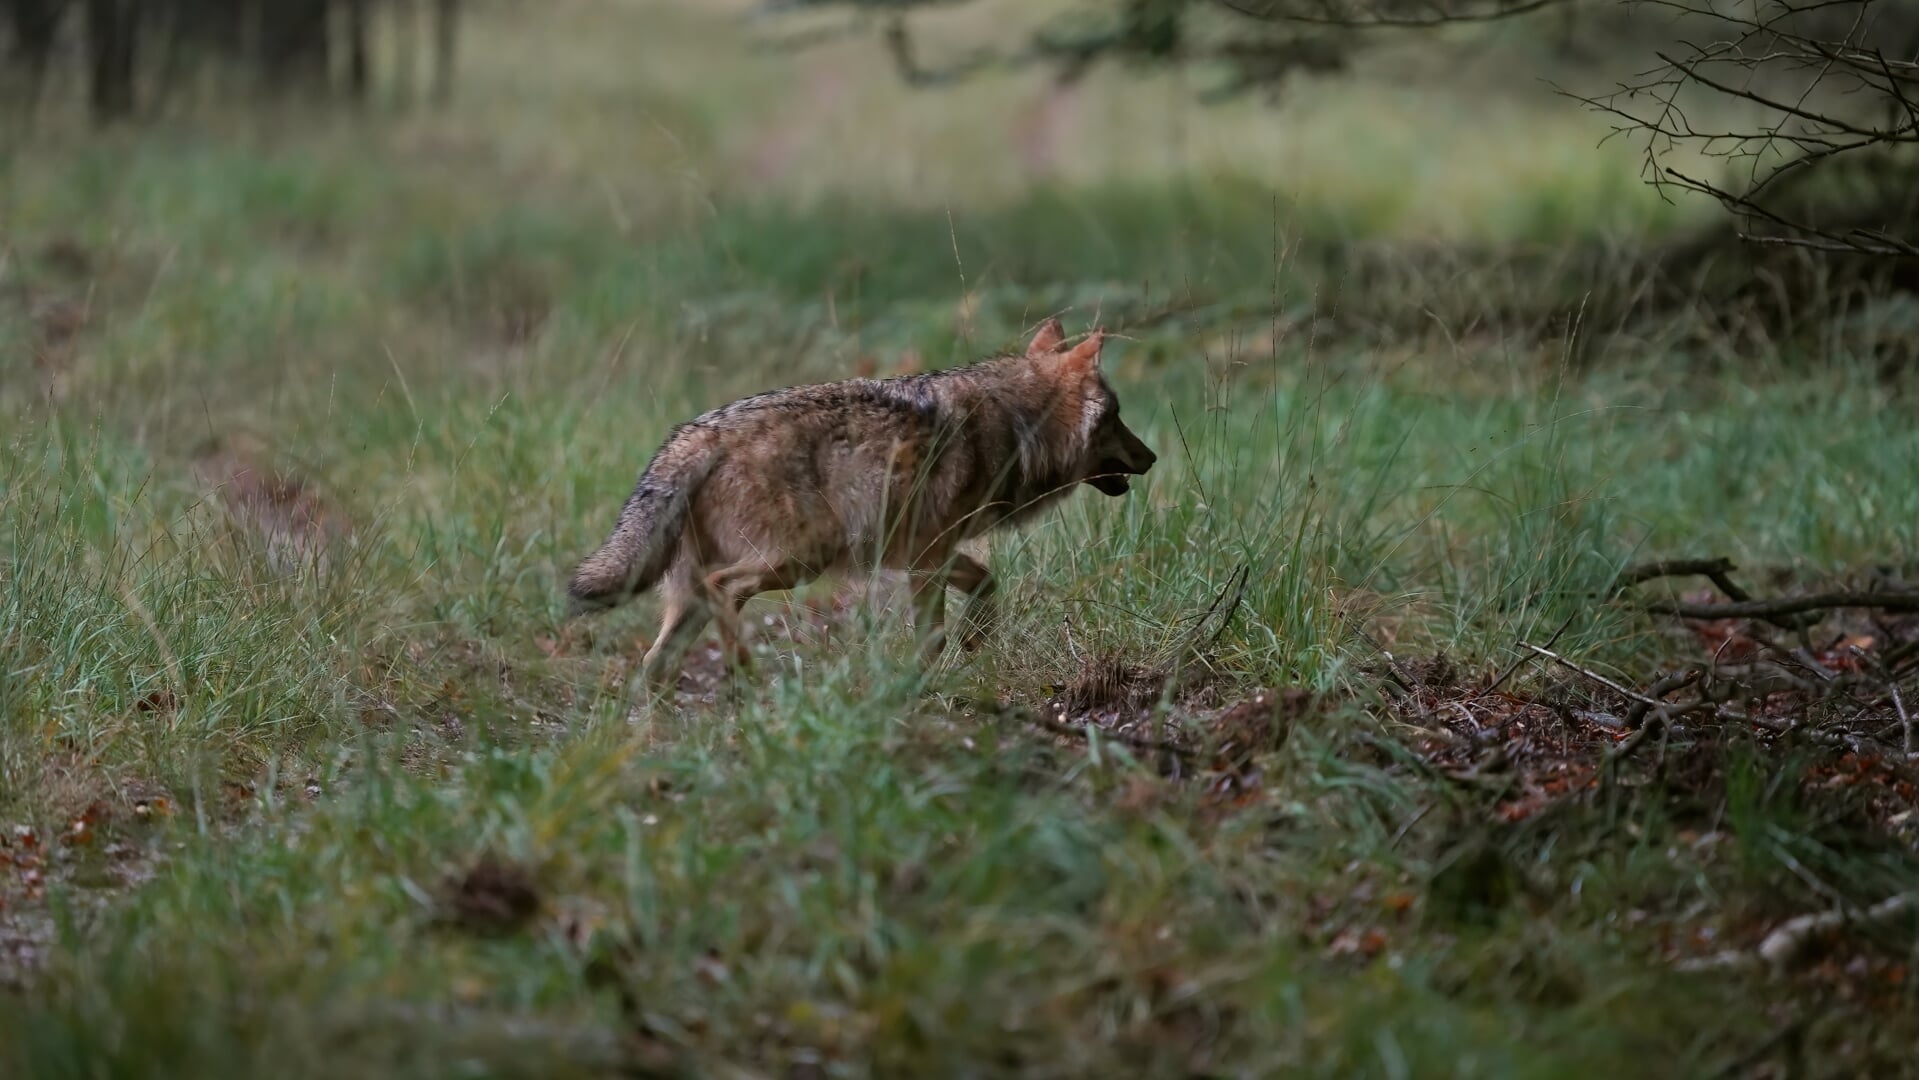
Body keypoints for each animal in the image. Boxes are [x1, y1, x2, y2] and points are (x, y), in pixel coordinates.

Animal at [560, 316, 1151, 698]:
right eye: (1118, 415)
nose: (1153, 456)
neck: (1017, 425)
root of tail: (697, 434)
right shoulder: (927, 560)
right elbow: (933, 636)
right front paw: (923, 686)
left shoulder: (927, 554)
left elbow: (987, 585)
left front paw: (975, 639)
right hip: (798, 561)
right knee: (723, 592)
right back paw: (747, 684)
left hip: (705, 594)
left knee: (653, 665)